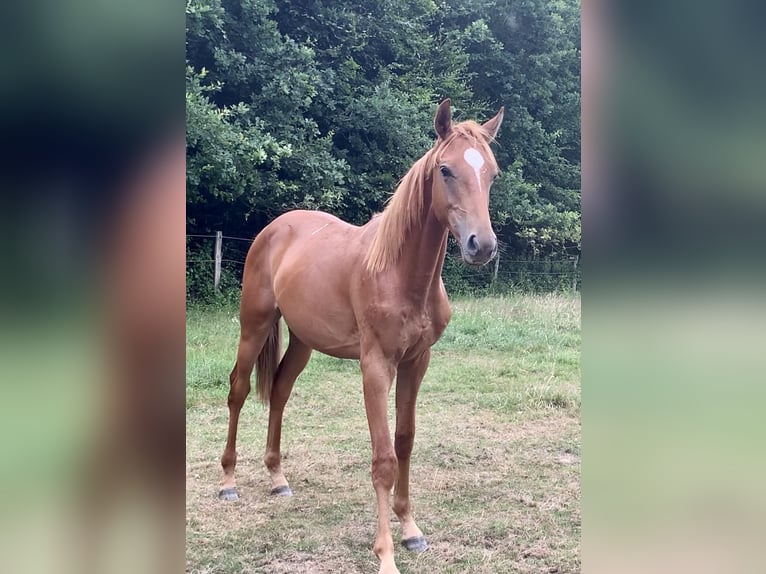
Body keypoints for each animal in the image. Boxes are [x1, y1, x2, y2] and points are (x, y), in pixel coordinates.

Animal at [219, 99, 504, 574]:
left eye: (493, 173)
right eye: (445, 169)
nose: (480, 246)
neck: (399, 272)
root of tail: (274, 229)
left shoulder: (416, 362)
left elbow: (405, 441)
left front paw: (411, 530)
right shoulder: (375, 366)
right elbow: (383, 458)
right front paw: (385, 553)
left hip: (303, 341)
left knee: (279, 391)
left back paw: (277, 477)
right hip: (253, 326)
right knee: (238, 391)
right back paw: (228, 481)